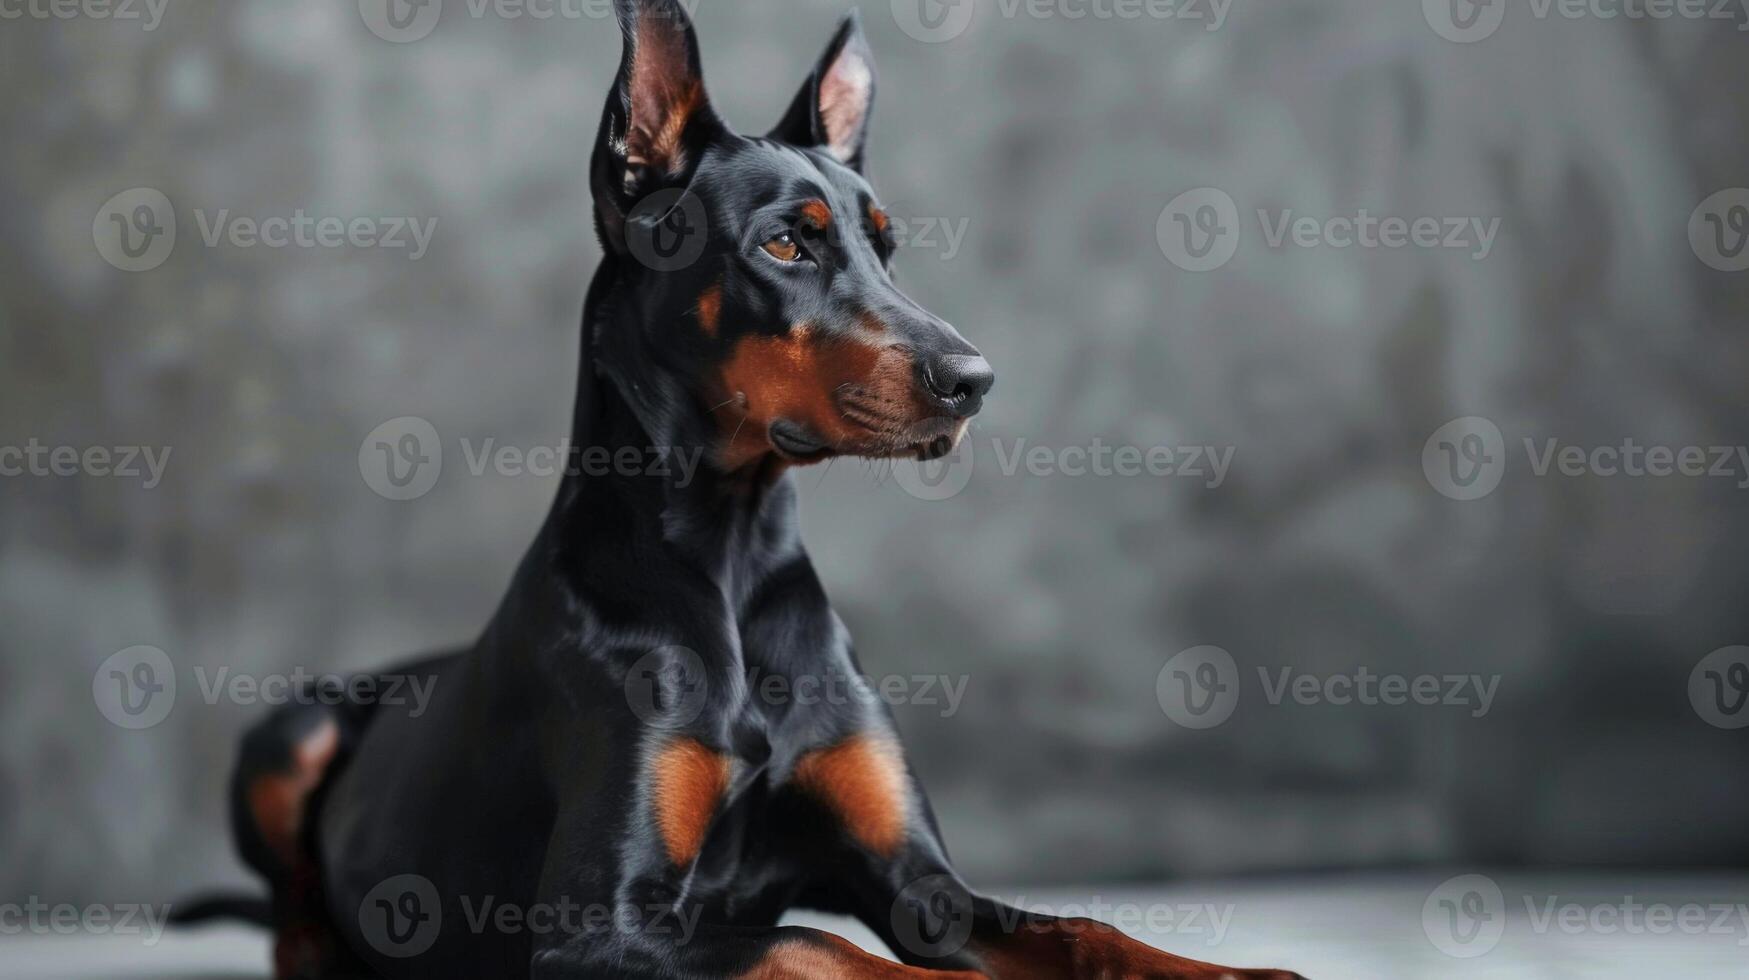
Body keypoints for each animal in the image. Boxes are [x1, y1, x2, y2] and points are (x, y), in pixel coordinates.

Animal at [204, 3, 1308, 973]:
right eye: (786, 242)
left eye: (885, 244)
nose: (974, 380)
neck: (732, 554)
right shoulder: (594, 927)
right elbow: (816, 944)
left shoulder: (918, 884)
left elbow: (1084, 928)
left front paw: (1243, 973)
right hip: (289, 735)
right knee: (290, 905)